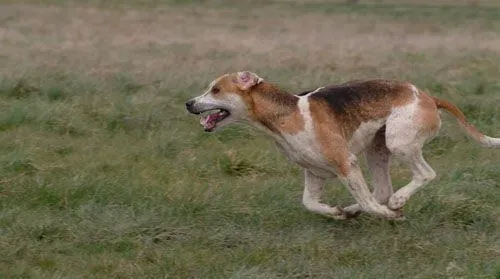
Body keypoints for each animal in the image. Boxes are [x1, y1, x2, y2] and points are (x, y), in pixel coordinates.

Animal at [186, 72, 498, 221]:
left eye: (215, 90)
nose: (189, 103)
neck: (287, 115)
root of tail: (428, 97)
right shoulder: (314, 173)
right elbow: (310, 202)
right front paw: (336, 213)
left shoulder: (346, 163)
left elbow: (369, 202)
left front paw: (389, 215)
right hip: (377, 149)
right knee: (381, 190)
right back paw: (351, 210)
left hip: (399, 142)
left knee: (423, 175)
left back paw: (397, 202)